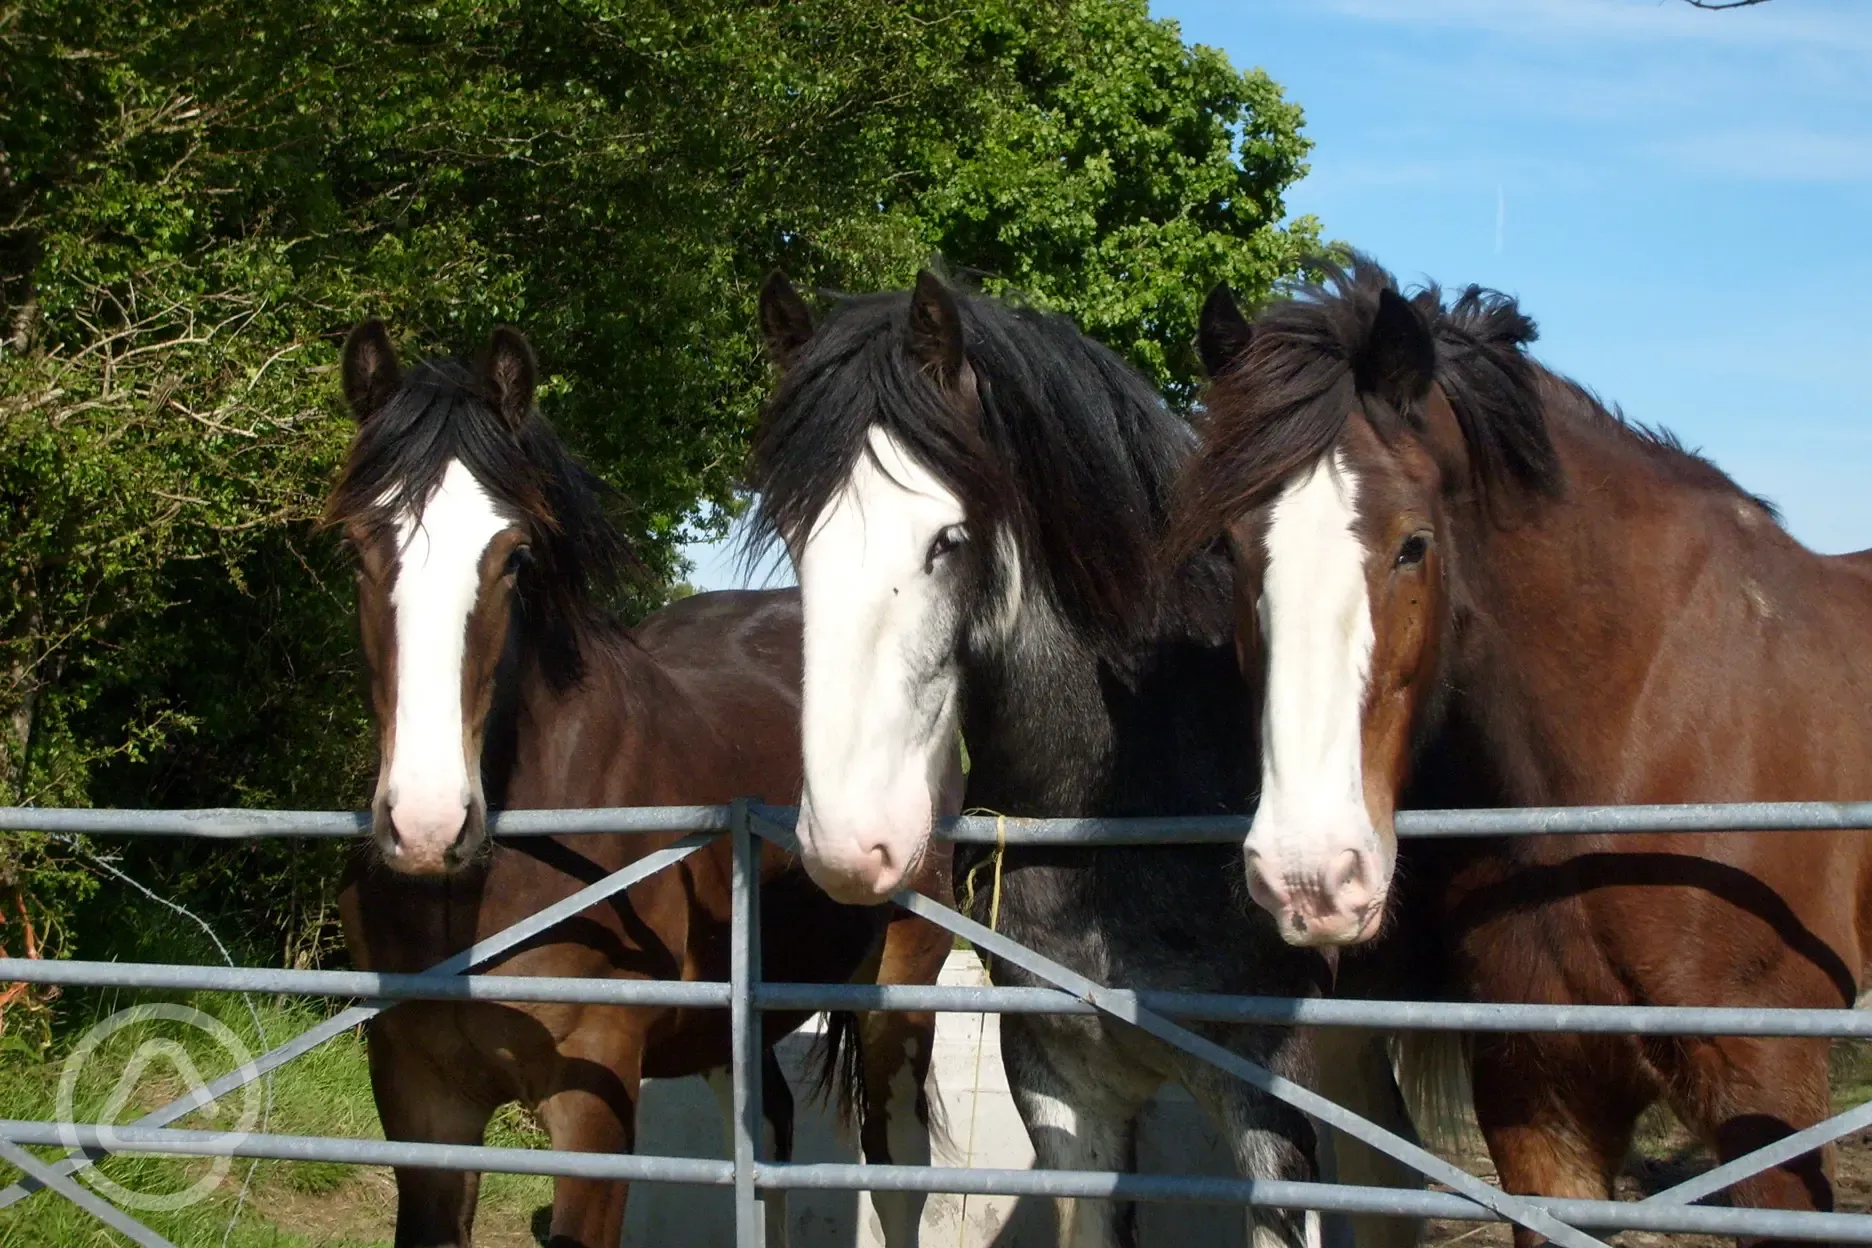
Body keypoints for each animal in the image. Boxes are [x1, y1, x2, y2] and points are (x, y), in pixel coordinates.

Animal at [325, 321, 950, 1248]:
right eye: (357, 549)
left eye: (514, 558)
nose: (427, 825)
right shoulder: (422, 1102)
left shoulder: (594, 1103)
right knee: (767, 1140)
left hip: (900, 996)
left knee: (898, 1171)